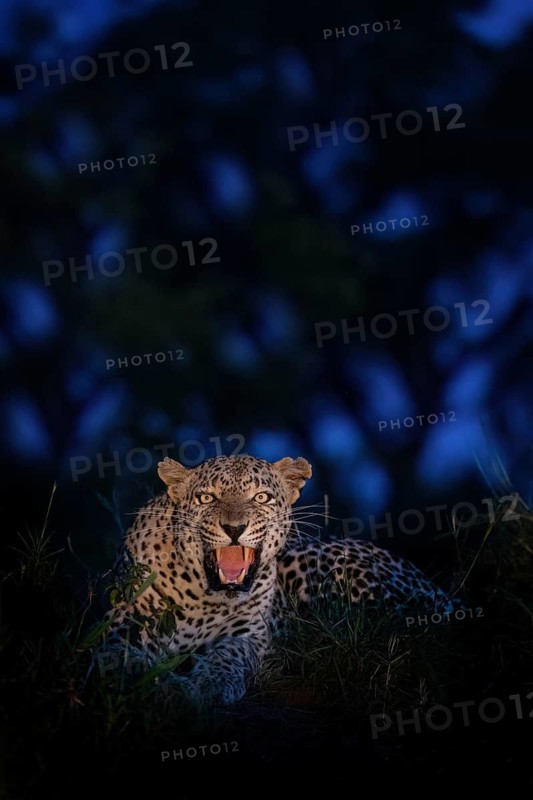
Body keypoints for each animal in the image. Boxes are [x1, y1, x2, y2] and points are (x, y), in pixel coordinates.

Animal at [102, 454, 452, 706]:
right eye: (206, 498)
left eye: (261, 497)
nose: (234, 528)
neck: (204, 596)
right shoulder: (123, 621)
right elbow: (121, 654)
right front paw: (149, 677)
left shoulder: (246, 636)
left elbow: (226, 660)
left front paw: (207, 686)